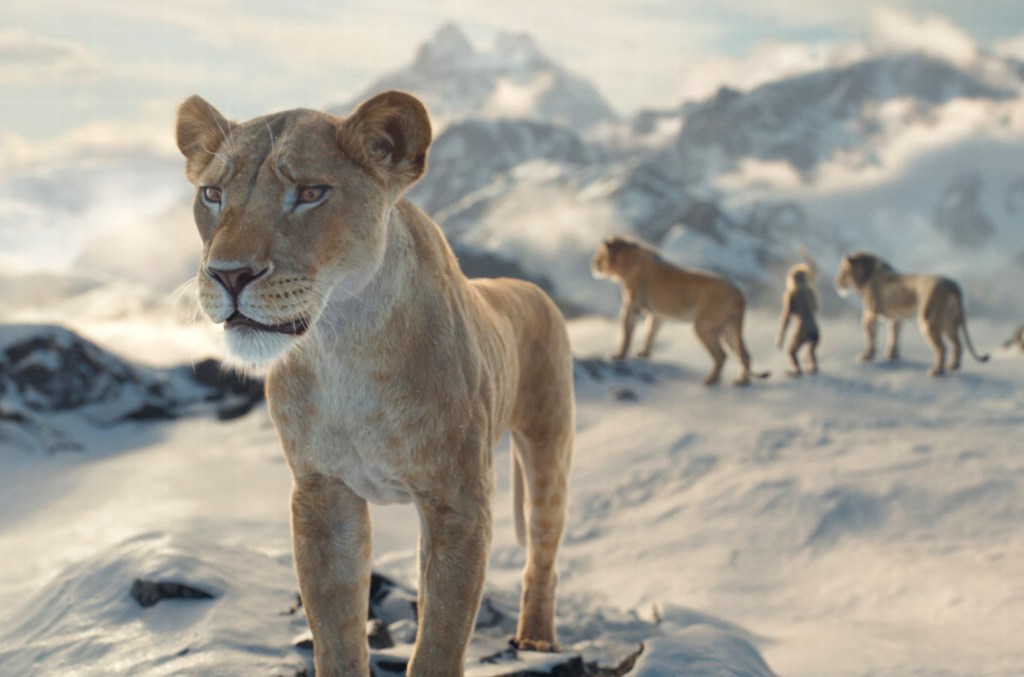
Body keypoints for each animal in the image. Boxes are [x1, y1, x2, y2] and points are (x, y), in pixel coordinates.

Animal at [176, 91, 575, 676]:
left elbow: (439, 642)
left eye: (310, 193)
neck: (344, 345)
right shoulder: (321, 495)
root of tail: (530, 288)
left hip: (549, 448)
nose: (228, 274)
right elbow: (336, 634)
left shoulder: (458, 501)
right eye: (212, 194)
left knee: (543, 550)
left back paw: (538, 639)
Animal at [591, 236, 769, 386]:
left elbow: (626, 333)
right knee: (744, 354)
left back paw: (710, 380)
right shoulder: (656, 315)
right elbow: (650, 333)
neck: (629, 261)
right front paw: (644, 354)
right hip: (728, 328)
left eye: (599, 254)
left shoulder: (631, 307)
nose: (593, 264)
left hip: (704, 326)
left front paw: (618, 356)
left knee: (721, 356)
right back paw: (741, 381)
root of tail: (740, 294)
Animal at [835, 251, 989, 375]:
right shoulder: (896, 318)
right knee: (958, 344)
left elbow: (870, 336)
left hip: (928, 320)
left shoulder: (870, 314)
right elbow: (893, 335)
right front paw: (892, 355)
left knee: (942, 347)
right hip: (950, 321)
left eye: (842, 272)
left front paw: (866, 356)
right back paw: (953, 366)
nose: (836, 283)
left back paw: (936, 371)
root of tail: (953, 285)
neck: (866, 275)